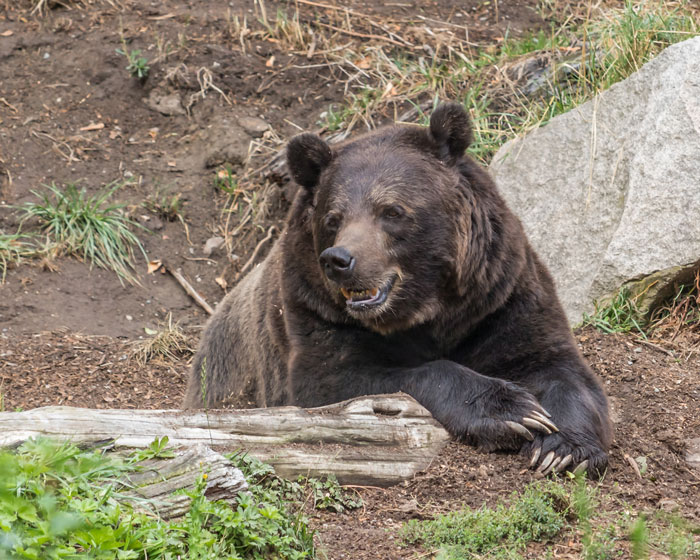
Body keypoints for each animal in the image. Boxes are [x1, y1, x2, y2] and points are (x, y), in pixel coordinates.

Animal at [184, 102, 612, 476]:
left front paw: (562, 447)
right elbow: (346, 381)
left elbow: (556, 365)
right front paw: (508, 410)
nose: (339, 260)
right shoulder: (313, 311)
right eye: (333, 217)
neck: (428, 309)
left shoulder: (498, 297)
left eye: (391, 211)